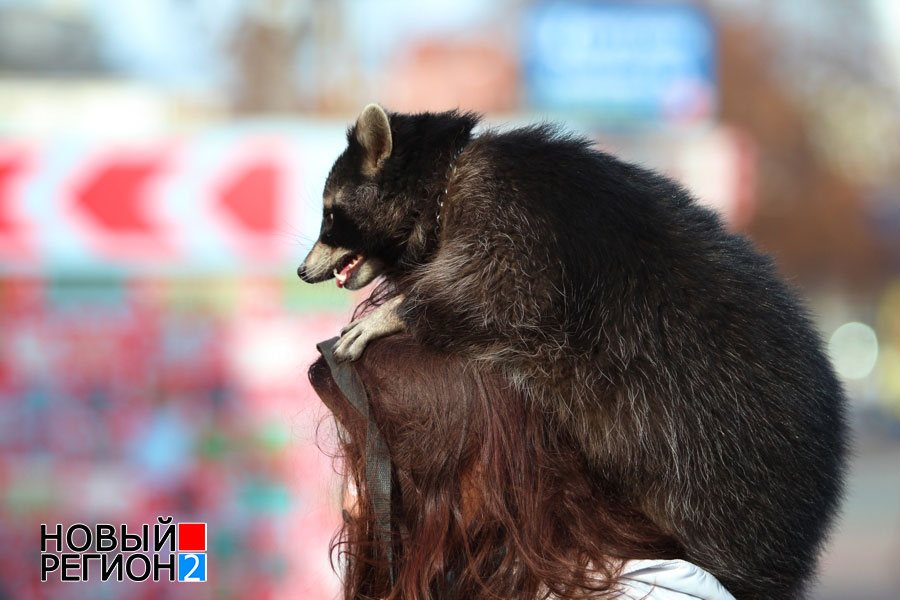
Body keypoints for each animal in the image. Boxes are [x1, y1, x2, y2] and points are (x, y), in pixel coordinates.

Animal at [298, 104, 852, 600]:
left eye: (330, 215)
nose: (303, 271)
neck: (447, 177)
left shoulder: (508, 214)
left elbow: (498, 288)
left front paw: (400, 311)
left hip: (721, 468)